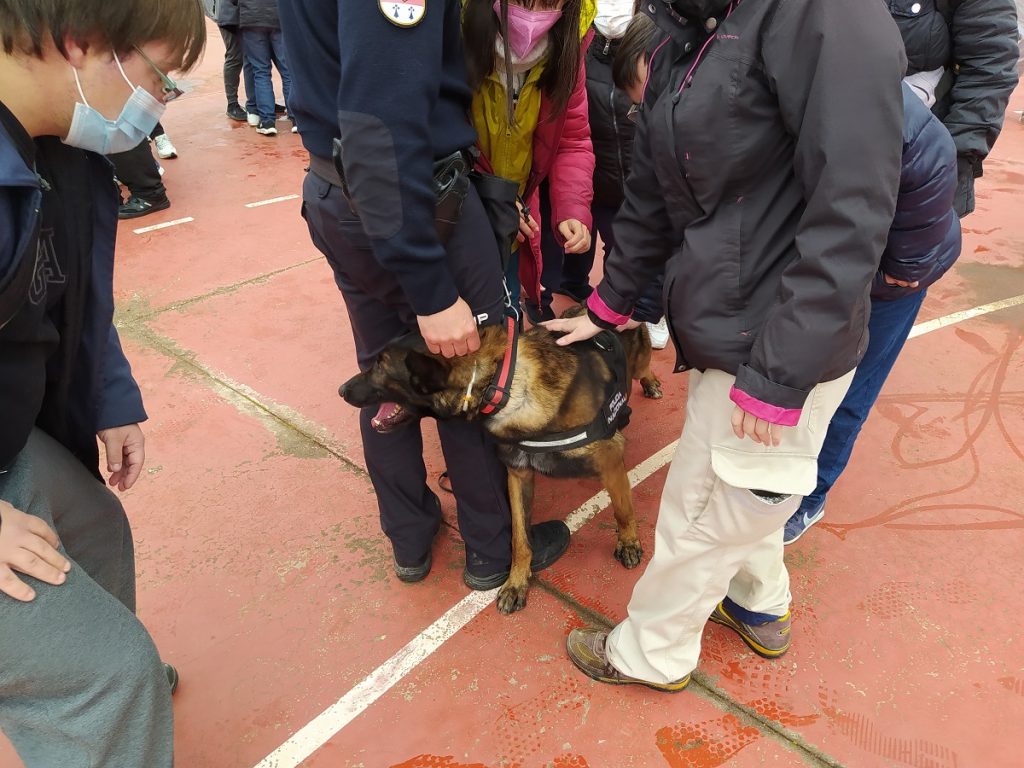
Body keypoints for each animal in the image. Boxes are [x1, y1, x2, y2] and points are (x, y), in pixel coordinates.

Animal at [339, 307, 663, 614]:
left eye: (380, 366)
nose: (341, 390)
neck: (502, 385)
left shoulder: (610, 460)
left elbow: (622, 509)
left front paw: (628, 542)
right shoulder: (518, 473)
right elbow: (519, 537)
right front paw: (516, 581)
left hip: (638, 362)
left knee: (644, 367)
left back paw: (650, 383)